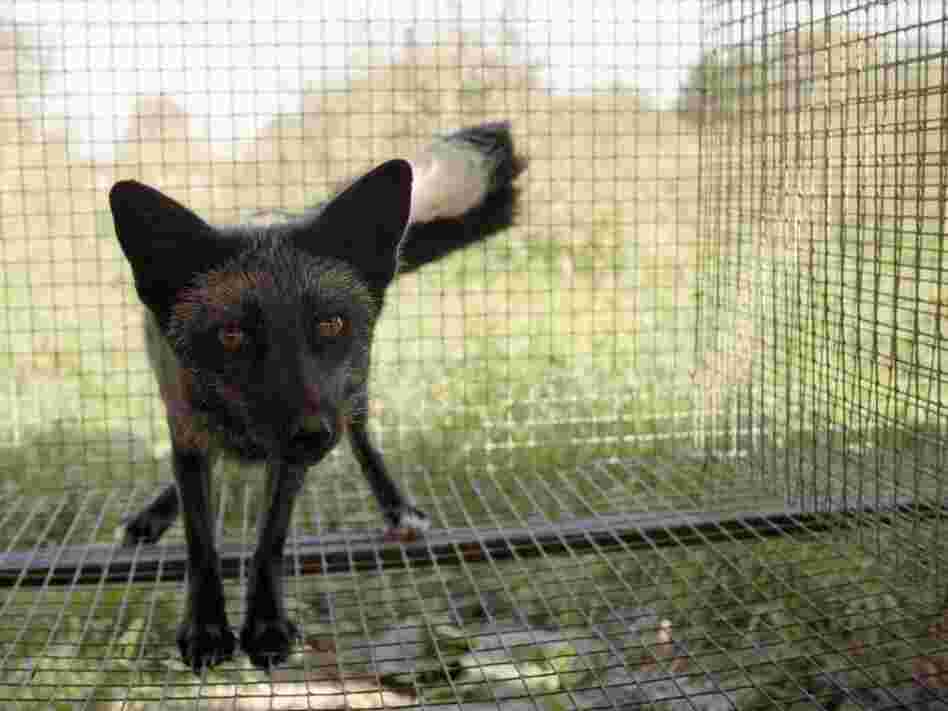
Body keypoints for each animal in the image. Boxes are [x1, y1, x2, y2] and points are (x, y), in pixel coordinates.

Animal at [109, 122, 525, 672]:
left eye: (331, 324)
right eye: (231, 335)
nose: (310, 434)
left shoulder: (293, 459)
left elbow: (270, 541)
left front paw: (265, 625)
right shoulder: (187, 429)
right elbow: (201, 544)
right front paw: (205, 627)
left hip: (353, 395)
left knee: (363, 440)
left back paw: (396, 507)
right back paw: (155, 514)